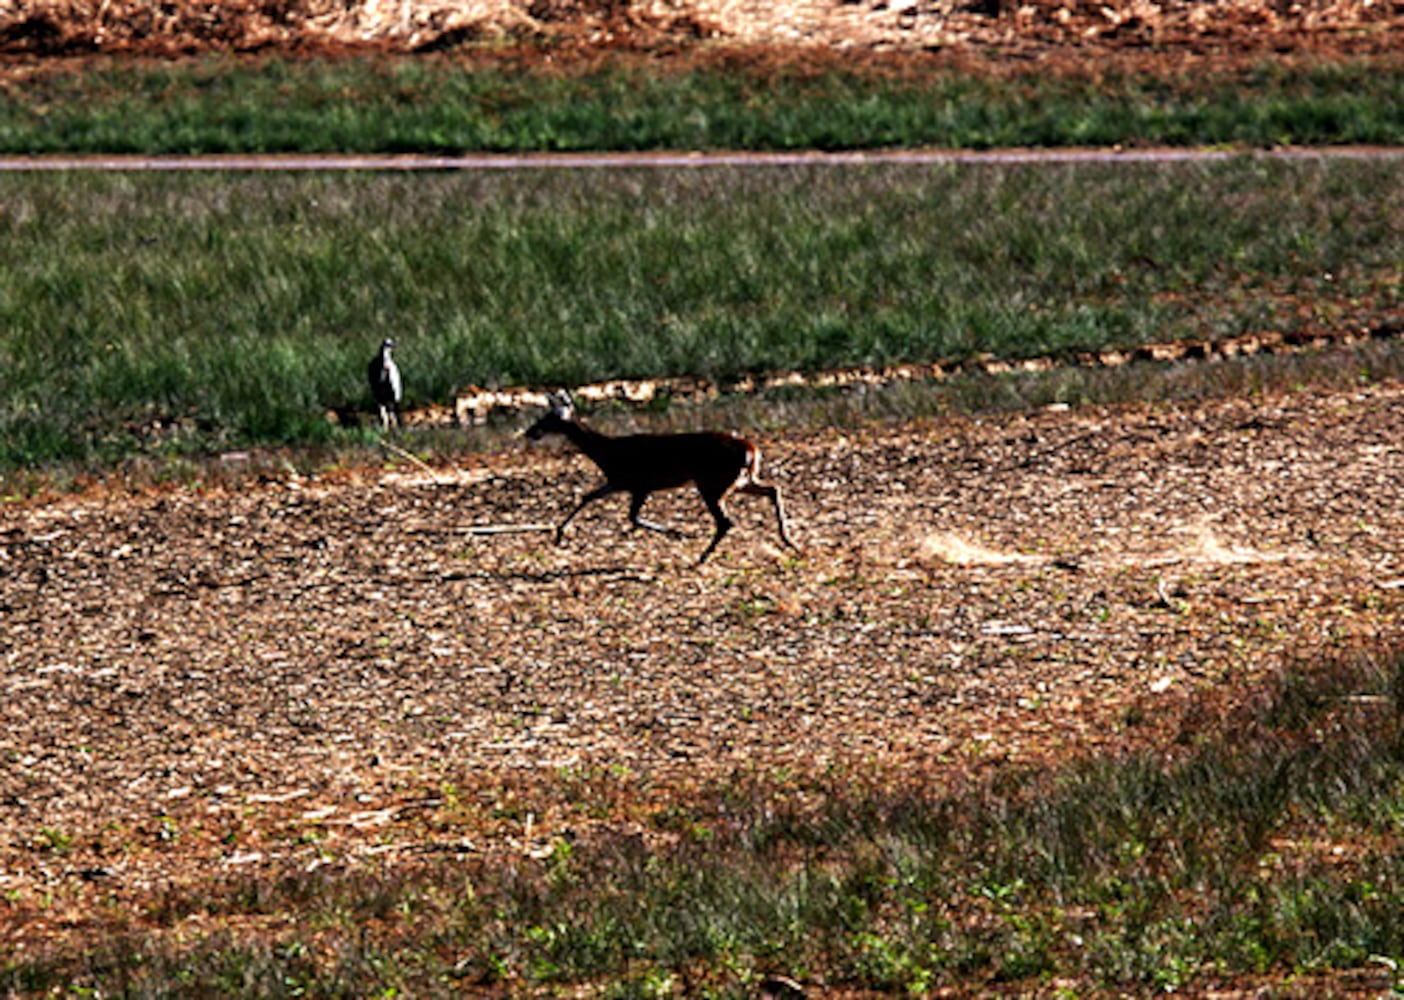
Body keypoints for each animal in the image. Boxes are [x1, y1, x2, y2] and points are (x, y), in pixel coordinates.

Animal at [525, 387, 797, 561]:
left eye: (547, 418)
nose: (530, 432)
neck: (606, 452)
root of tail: (751, 450)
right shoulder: (620, 481)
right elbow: (588, 497)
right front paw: (559, 533)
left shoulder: (638, 483)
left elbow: (631, 517)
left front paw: (677, 532)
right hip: (737, 480)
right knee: (773, 489)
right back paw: (789, 540)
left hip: (712, 482)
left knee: (727, 521)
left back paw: (702, 556)